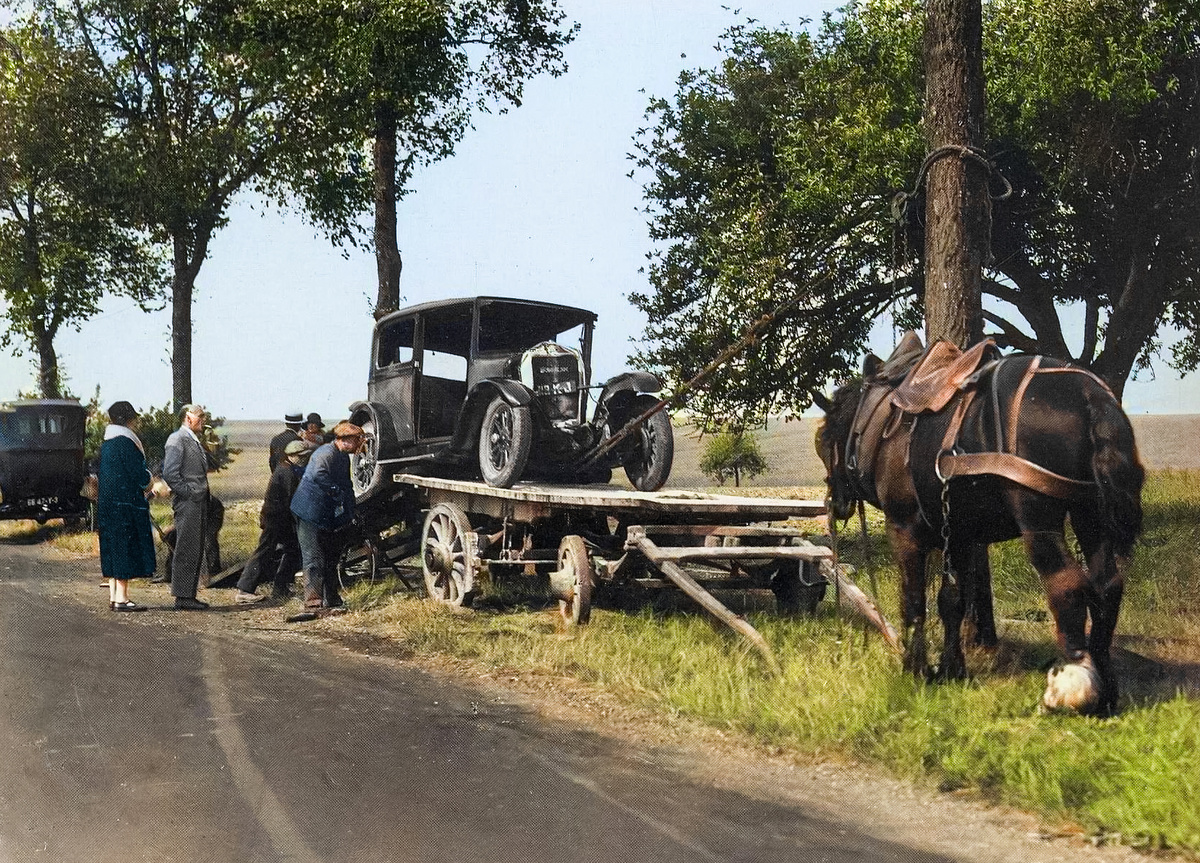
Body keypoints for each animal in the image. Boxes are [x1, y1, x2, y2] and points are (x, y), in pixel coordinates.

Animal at [816, 338, 1142, 715]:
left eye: (824, 441)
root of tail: (1092, 395)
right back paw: (1106, 689)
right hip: (1090, 513)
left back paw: (1070, 688)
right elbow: (952, 602)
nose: (835, 504)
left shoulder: (904, 530)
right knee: (1107, 584)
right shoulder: (957, 536)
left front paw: (915, 669)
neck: (876, 419)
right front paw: (951, 669)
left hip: (1038, 518)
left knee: (1066, 583)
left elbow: (913, 602)